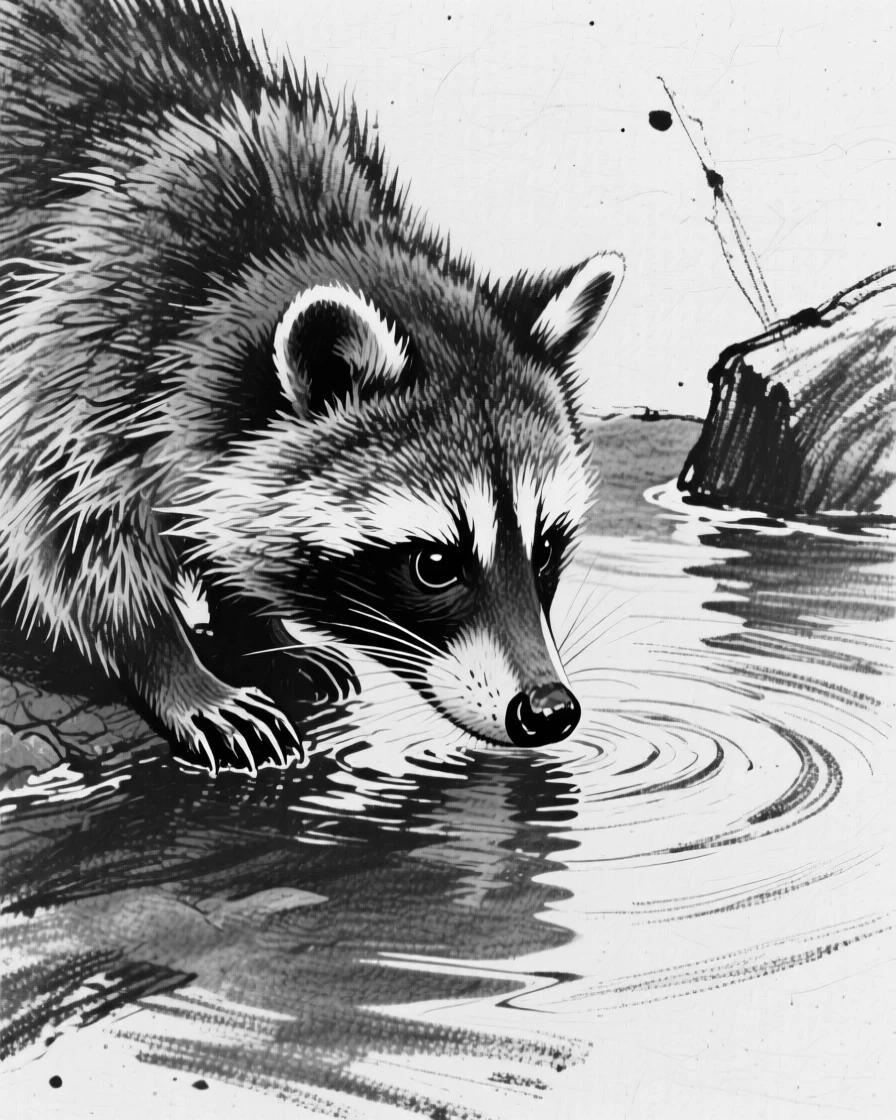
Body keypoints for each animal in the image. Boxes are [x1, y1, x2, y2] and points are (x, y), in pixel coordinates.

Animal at [0, 0, 623, 773]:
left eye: (545, 549)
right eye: (434, 564)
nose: (548, 710)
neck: (274, 250)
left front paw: (257, 627)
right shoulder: (86, 335)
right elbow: (70, 532)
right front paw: (172, 665)